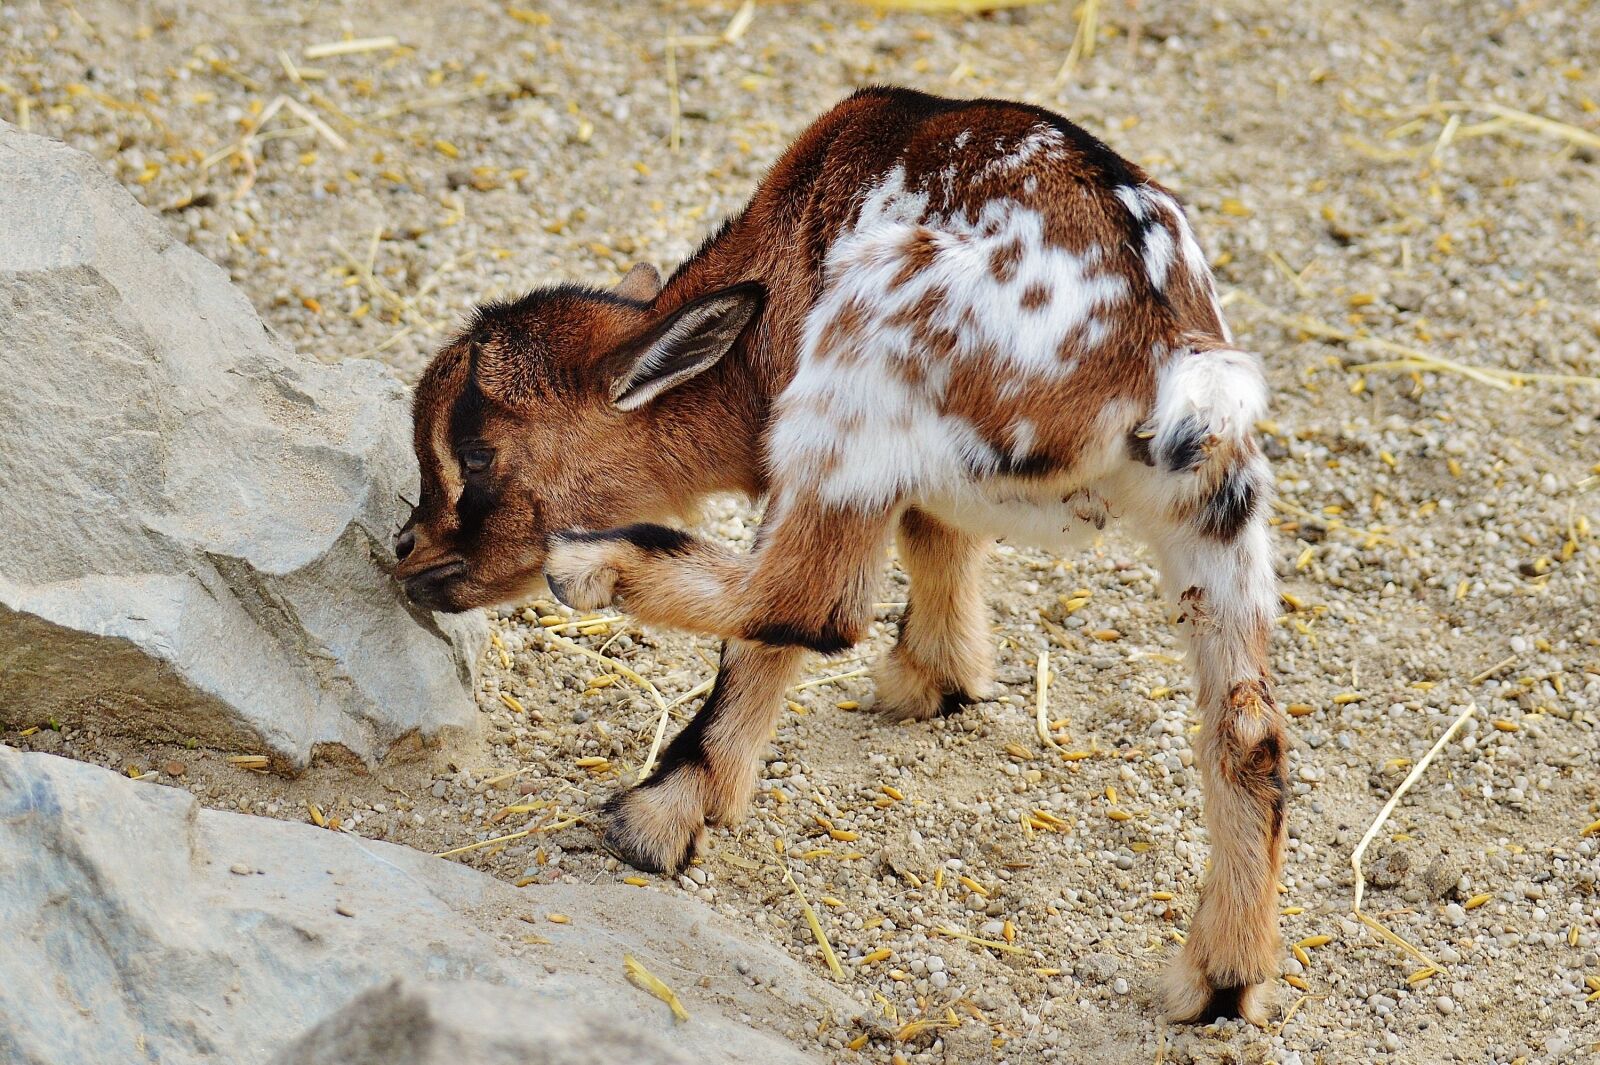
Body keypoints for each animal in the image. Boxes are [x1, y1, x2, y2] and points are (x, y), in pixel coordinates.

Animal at [394, 87, 1286, 1025]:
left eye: (478, 455)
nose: (404, 549)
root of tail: (1162, 353)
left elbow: (777, 636)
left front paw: (664, 825)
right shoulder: (916, 475)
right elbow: (935, 534)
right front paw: (936, 679)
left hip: (864, 353)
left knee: (804, 597)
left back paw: (603, 605)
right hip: (1218, 511)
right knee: (1250, 731)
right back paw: (1220, 980)